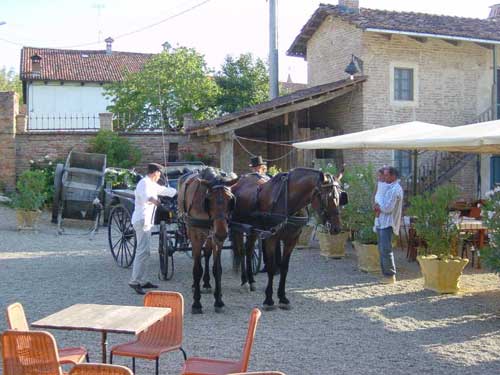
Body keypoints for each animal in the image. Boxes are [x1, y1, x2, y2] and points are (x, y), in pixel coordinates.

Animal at [177, 170, 237, 314]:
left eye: (230, 200)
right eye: (209, 200)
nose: (221, 233)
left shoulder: (216, 238)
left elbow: (217, 268)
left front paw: (219, 300)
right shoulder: (196, 235)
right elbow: (197, 269)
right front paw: (196, 303)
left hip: (210, 236)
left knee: (208, 253)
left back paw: (206, 283)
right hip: (192, 231)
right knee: (196, 257)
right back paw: (196, 285)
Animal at [229, 169, 344, 310]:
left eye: (340, 196)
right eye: (326, 197)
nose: (337, 228)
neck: (288, 201)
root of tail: (238, 182)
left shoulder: (291, 240)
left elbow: (284, 267)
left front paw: (282, 297)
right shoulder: (270, 239)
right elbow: (271, 268)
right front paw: (268, 300)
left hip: (253, 230)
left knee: (249, 250)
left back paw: (251, 281)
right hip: (238, 228)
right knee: (241, 251)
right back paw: (244, 281)